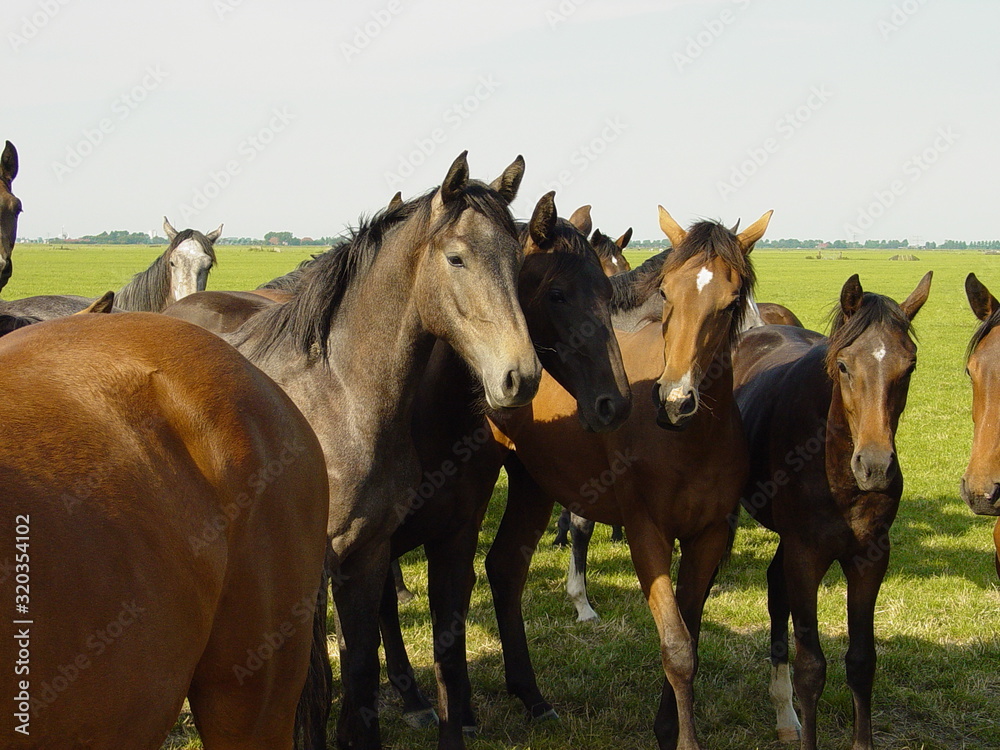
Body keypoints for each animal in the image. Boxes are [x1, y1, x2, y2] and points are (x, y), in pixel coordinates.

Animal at [219, 152, 540, 749]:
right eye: (457, 258)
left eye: (518, 261)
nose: (520, 378)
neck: (338, 398)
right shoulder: (316, 572)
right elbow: (315, 690)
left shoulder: (367, 555)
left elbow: (362, 671)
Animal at [375, 191, 631, 748]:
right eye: (557, 293)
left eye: (609, 292)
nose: (614, 403)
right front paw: (426, 702)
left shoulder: (468, 515)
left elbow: (466, 597)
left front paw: (477, 705)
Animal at [486, 208, 773, 749]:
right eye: (667, 293)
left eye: (731, 303)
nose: (675, 400)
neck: (689, 440)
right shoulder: (647, 534)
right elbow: (676, 645)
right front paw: (681, 738)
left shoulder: (707, 537)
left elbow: (690, 633)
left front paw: (668, 725)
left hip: (532, 484)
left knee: (505, 568)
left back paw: (532, 698)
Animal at [733, 271, 931, 749]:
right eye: (843, 366)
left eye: (909, 366)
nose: (875, 466)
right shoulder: (806, 556)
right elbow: (811, 668)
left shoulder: (869, 559)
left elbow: (861, 660)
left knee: (775, 588)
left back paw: (785, 715)